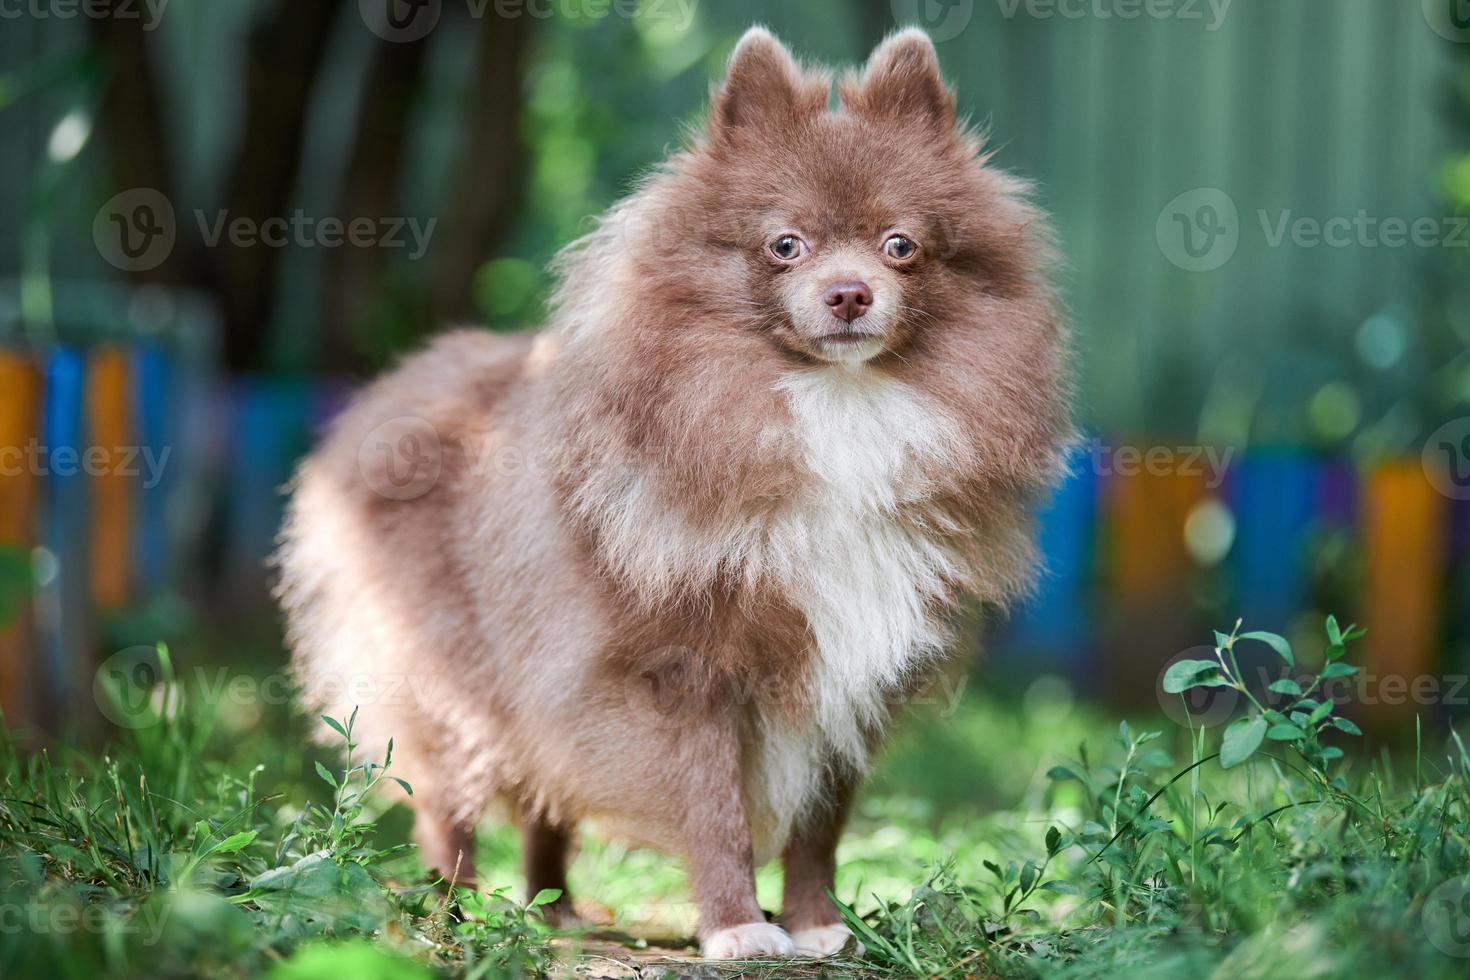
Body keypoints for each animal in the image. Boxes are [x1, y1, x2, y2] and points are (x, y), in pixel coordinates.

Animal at [276, 26, 1070, 963]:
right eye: (785, 245)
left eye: (900, 245)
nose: (849, 293)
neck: (836, 411)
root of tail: (385, 398)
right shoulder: (689, 670)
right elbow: (715, 810)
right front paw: (737, 928)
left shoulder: (852, 671)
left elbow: (820, 824)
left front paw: (817, 923)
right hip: (450, 679)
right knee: (448, 808)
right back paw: (455, 915)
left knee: (542, 800)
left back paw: (553, 912)